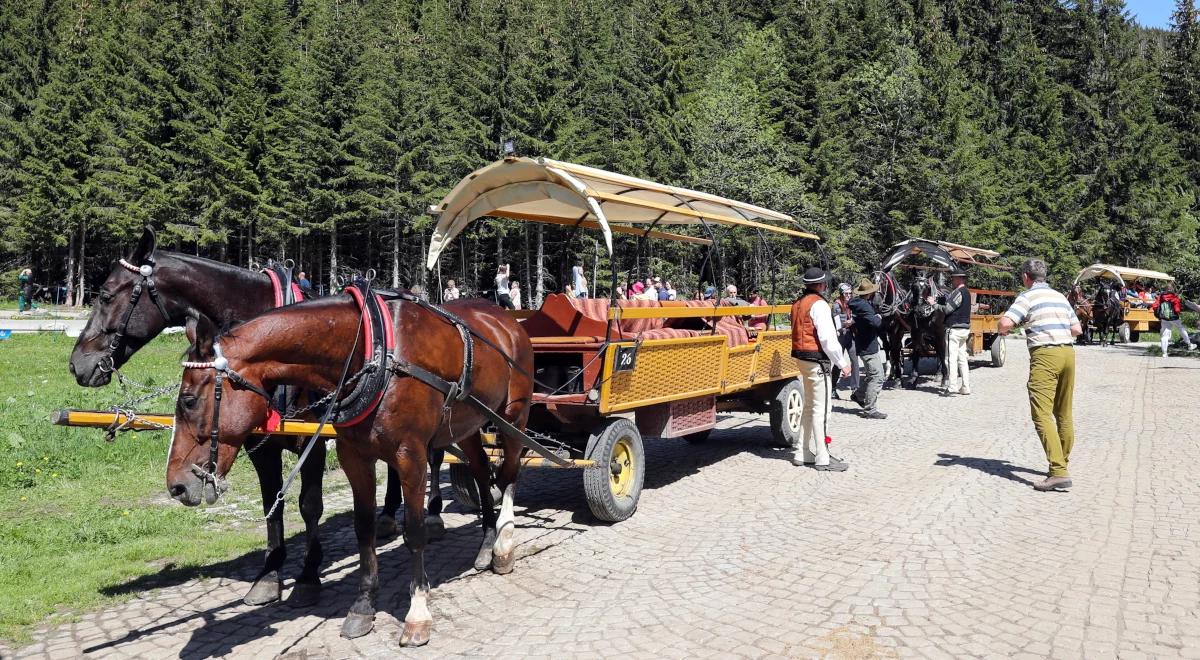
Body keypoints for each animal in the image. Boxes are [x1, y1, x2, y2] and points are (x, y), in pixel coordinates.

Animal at [66, 229, 441, 609]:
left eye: (106, 295)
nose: (76, 364)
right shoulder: (259, 444)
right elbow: (271, 503)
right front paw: (269, 574)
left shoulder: (314, 441)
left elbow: (309, 505)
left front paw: (308, 575)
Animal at [165, 295, 535, 648]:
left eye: (188, 401)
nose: (176, 486)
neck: (373, 352)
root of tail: (506, 319)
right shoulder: (354, 456)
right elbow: (363, 528)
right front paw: (363, 606)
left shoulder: (411, 456)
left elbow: (414, 532)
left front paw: (417, 614)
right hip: (469, 423)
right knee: (481, 469)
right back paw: (486, 543)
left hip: (514, 416)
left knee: (510, 473)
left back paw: (503, 545)